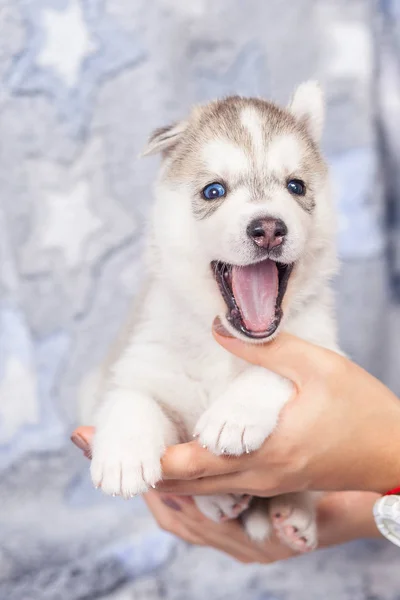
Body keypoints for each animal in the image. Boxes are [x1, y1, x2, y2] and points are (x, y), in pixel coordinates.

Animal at [91, 82, 340, 552]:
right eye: (213, 191)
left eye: (295, 186)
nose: (268, 228)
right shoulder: (142, 362)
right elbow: (132, 397)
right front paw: (122, 454)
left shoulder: (322, 352)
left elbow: (272, 371)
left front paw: (233, 416)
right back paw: (222, 498)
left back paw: (295, 515)